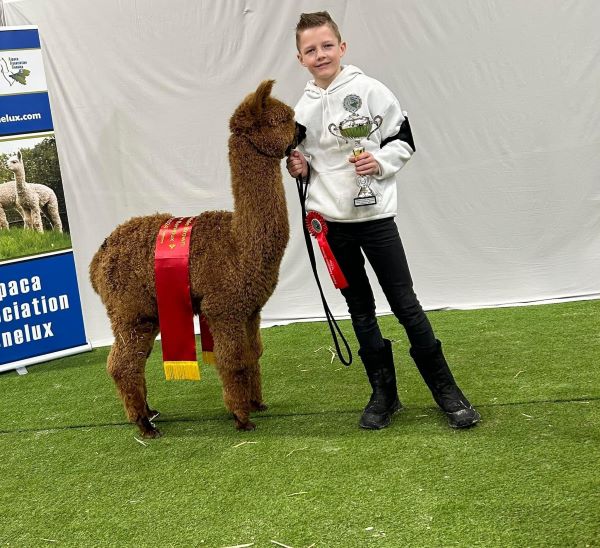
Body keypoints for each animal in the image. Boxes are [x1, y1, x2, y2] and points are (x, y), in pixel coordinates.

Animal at [89, 80, 298, 438]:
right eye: (280, 120)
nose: (303, 131)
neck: (239, 243)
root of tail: (97, 258)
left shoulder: (250, 309)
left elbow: (253, 354)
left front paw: (257, 402)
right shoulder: (224, 308)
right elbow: (234, 361)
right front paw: (242, 417)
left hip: (147, 311)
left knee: (133, 360)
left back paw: (149, 412)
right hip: (130, 309)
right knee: (122, 364)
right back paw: (144, 425)